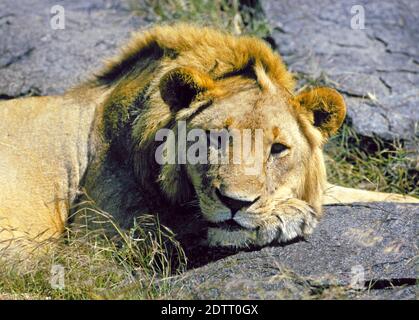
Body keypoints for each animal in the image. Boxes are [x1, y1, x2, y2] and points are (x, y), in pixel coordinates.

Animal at [0, 24, 419, 252]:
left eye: (278, 149)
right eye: (213, 140)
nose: (236, 203)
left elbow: (371, 196)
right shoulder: (95, 235)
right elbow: (185, 221)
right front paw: (285, 215)